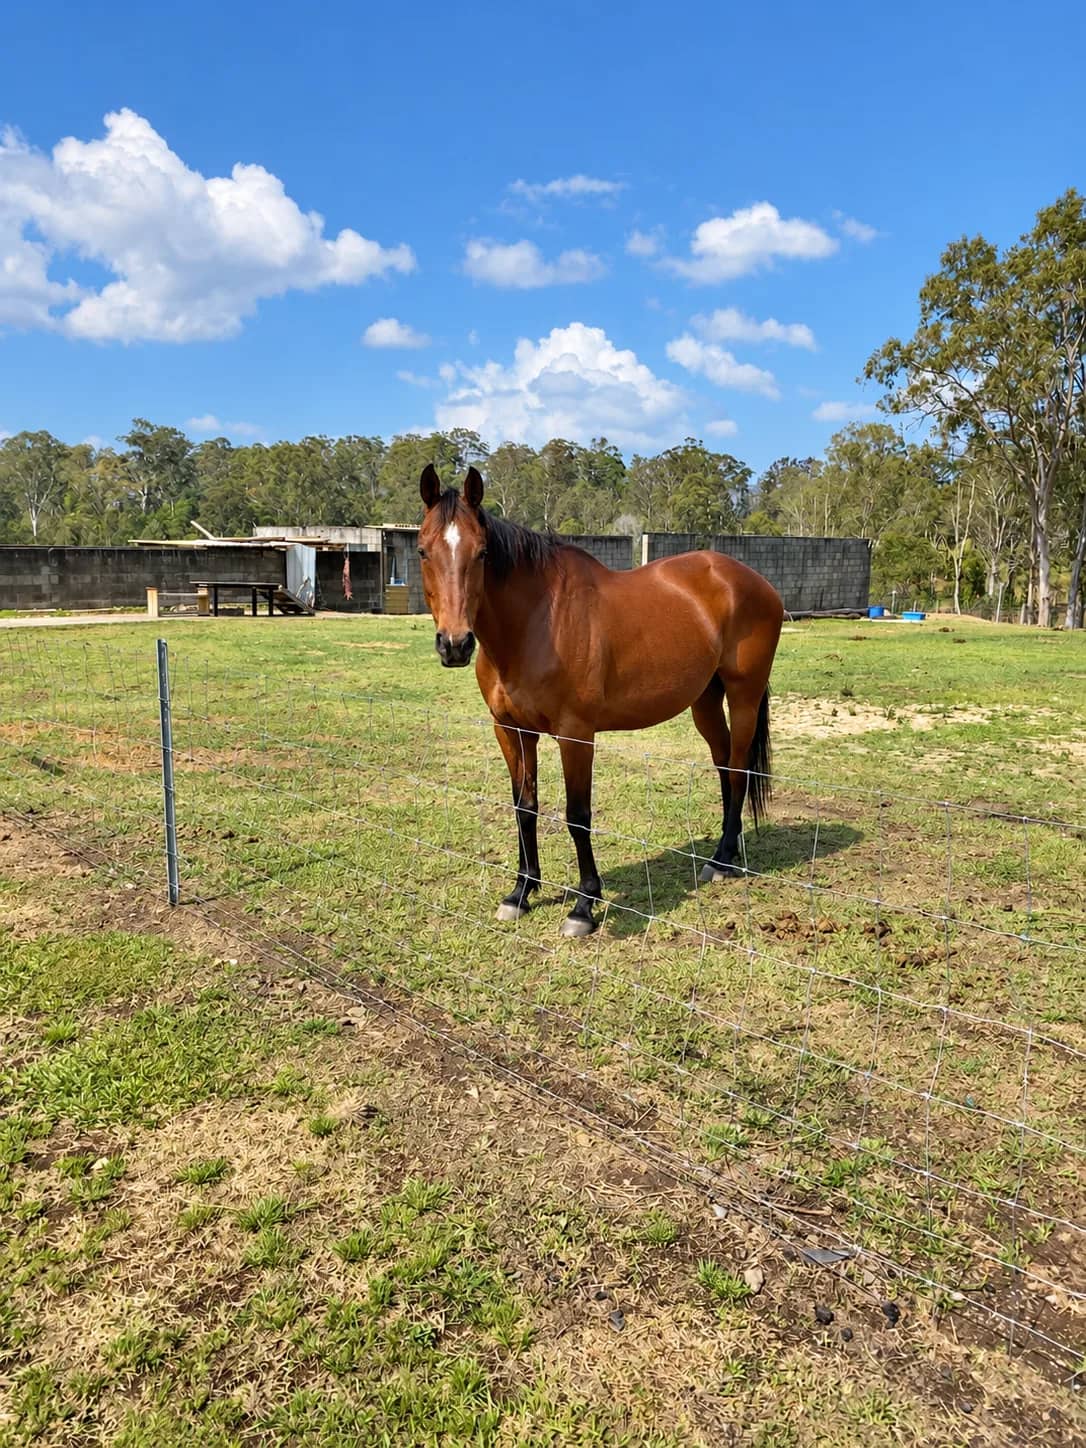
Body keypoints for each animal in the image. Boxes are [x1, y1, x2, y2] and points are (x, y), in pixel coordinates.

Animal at [417, 463, 785, 938]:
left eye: (481, 553)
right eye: (424, 551)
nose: (455, 645)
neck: (535, 623)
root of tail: (753, 581)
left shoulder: (576, 735)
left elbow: (577, 815)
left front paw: (584, 906)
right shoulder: (512, 730)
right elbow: (525, 807)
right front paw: (521, 892)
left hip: (743, 696)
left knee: (738, 769)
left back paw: (722, 861)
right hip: (705, 700)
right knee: (724, 765)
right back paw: (725, 851)